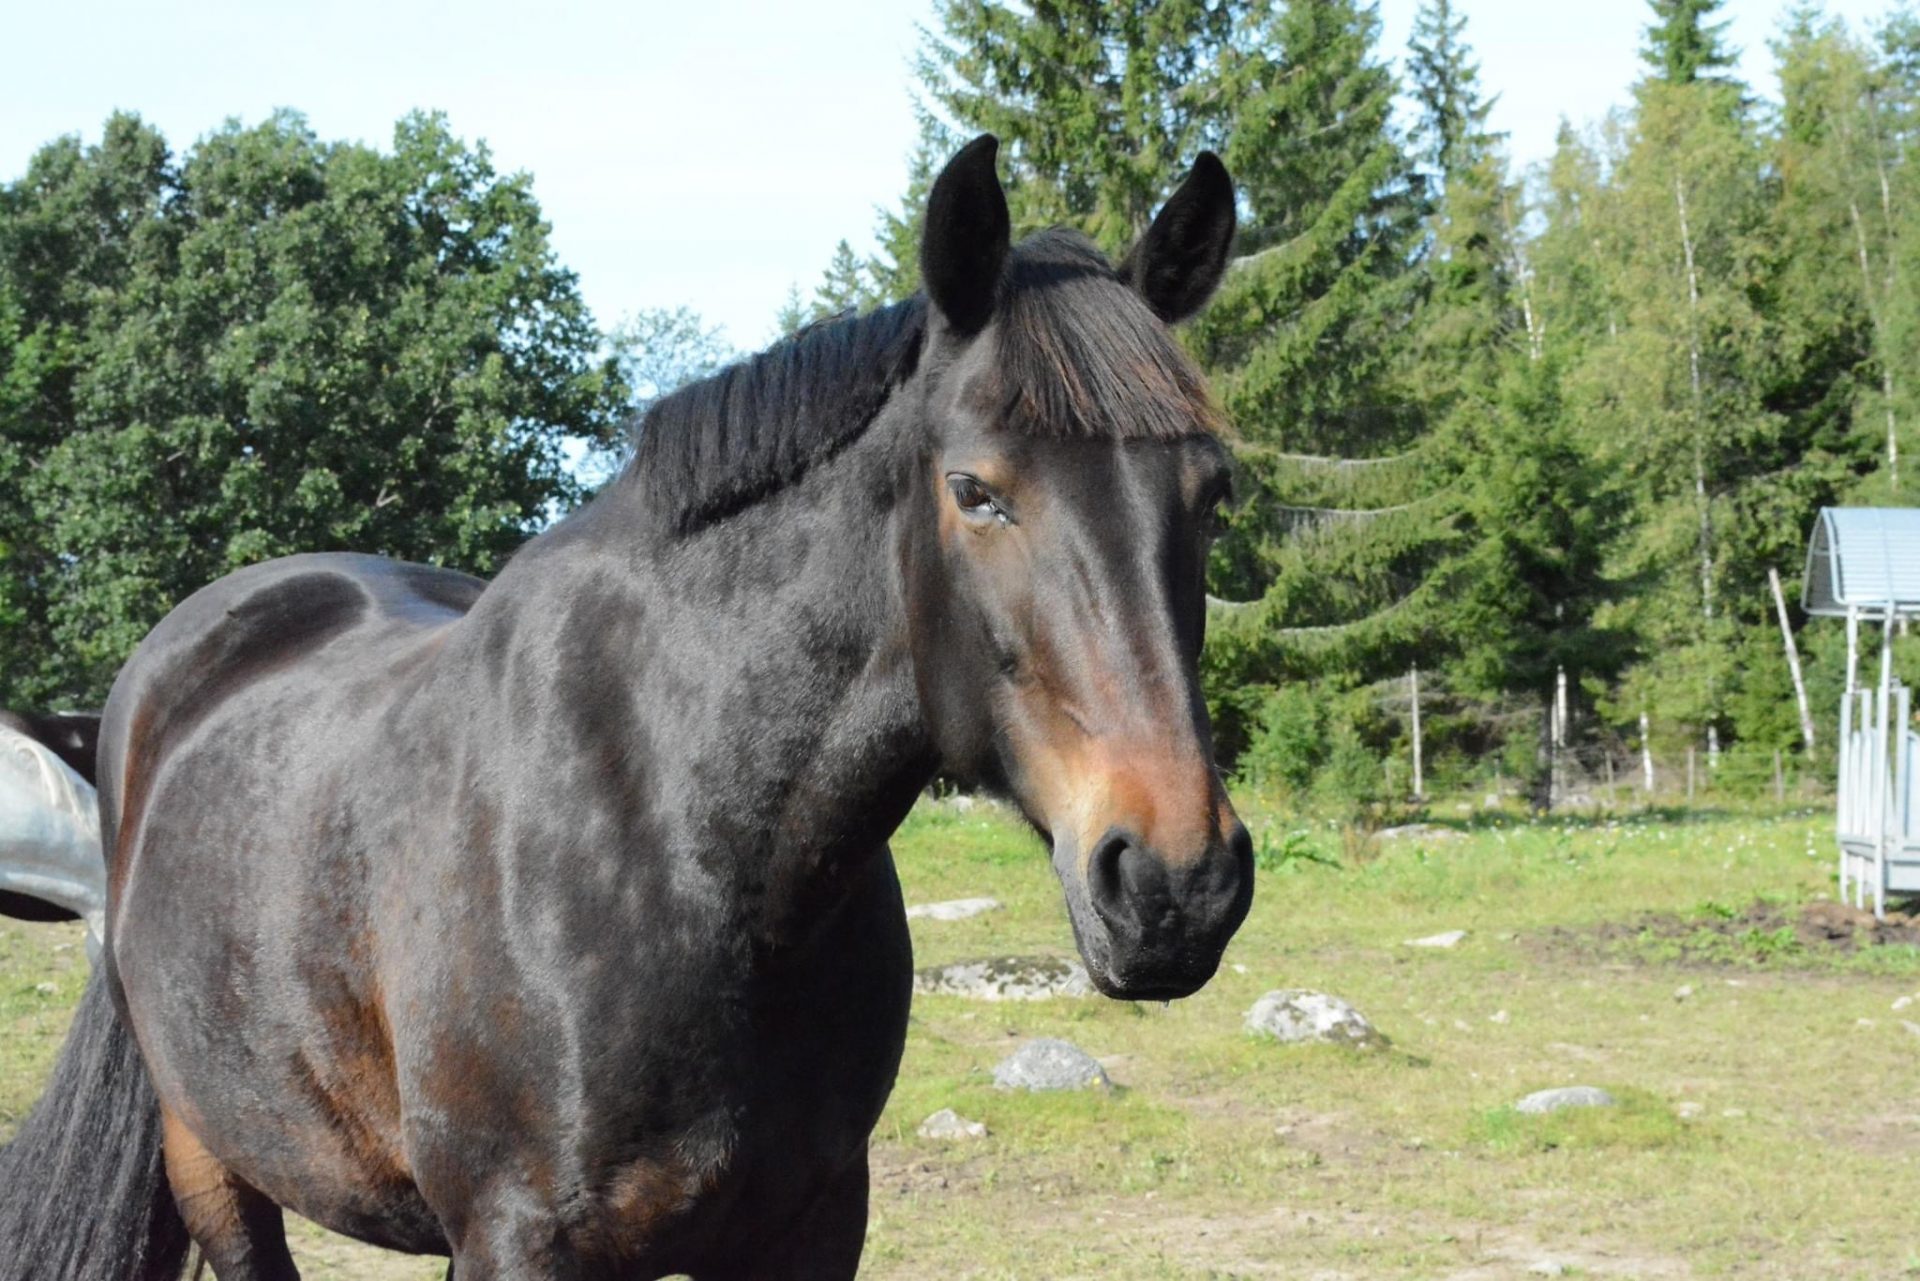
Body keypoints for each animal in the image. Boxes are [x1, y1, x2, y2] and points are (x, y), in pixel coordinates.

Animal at [0, 135, 1251, 1275]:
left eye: (1213, 493)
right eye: (975, 491)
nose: (1174, 880)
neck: (683, 845)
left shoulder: (809, 1227)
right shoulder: (515, 1242)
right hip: (214, 1157)